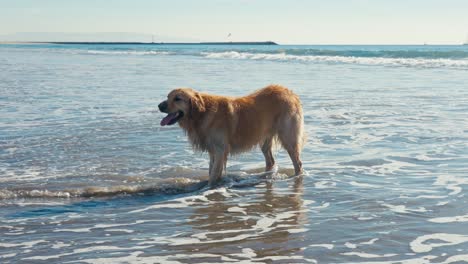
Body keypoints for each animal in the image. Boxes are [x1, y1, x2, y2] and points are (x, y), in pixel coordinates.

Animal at [159, 84, 306, 186]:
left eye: (177, 99)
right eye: (167, 97)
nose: (159, 106)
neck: (201, 113)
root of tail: (290, 92)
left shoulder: (220, 150)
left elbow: (213, 175)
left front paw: (209, 187)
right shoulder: (213, 151)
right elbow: (211, 171)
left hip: (288, 137)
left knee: (298, 163)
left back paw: (296, 177)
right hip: (265, 139)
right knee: (270, 160)